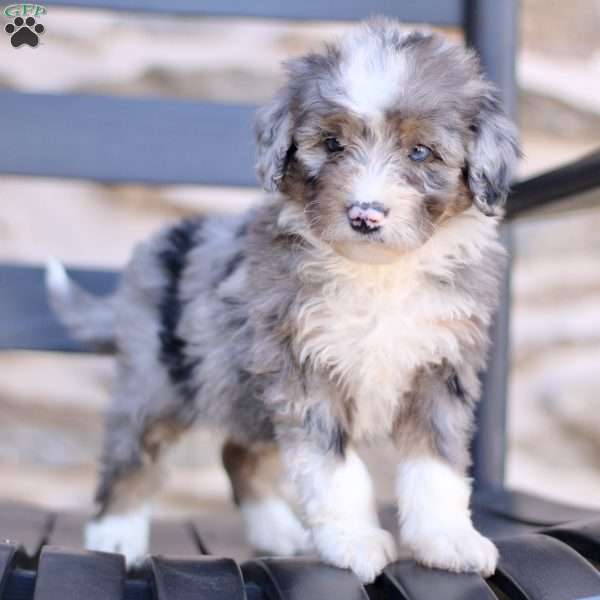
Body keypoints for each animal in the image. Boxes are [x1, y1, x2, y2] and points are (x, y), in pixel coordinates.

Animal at [48, 19, 520, 584]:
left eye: (422, 152)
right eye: (332, 144)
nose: (365, 214)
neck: (378, 272)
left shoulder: (441, 367)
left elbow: (436, 466)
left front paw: (447, 539)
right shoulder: (305, 367)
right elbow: (334, 468)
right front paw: (355, 541)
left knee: (238, 454)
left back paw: (277, 530)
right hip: (155, 380)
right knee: (133, 453)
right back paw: (115, 532)